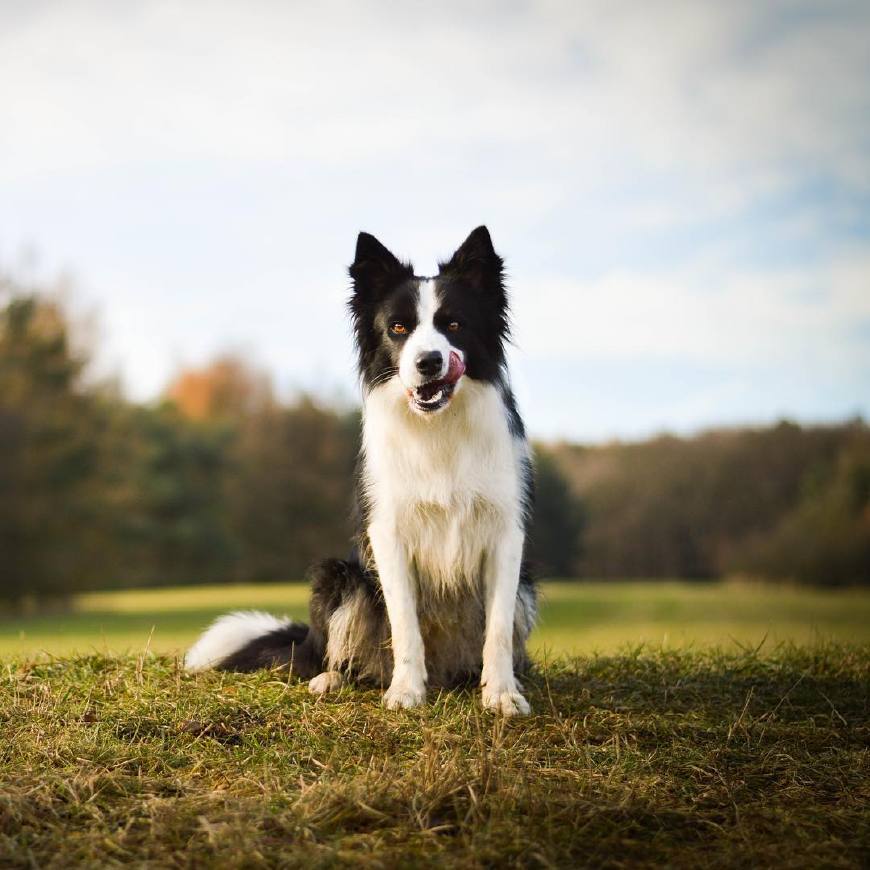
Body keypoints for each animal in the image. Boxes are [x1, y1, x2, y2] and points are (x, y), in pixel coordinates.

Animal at [187, 228, 536, 720]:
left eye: (454, 325)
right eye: (398, 328)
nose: (429, 362)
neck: (437, 427)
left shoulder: (506, 534)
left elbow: (499, 630)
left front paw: (502, 694)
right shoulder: (388, 534)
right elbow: (405, 625)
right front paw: (405, 692)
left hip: (525, 586)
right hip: (340, 576)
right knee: (341, 655)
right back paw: (331, 679)